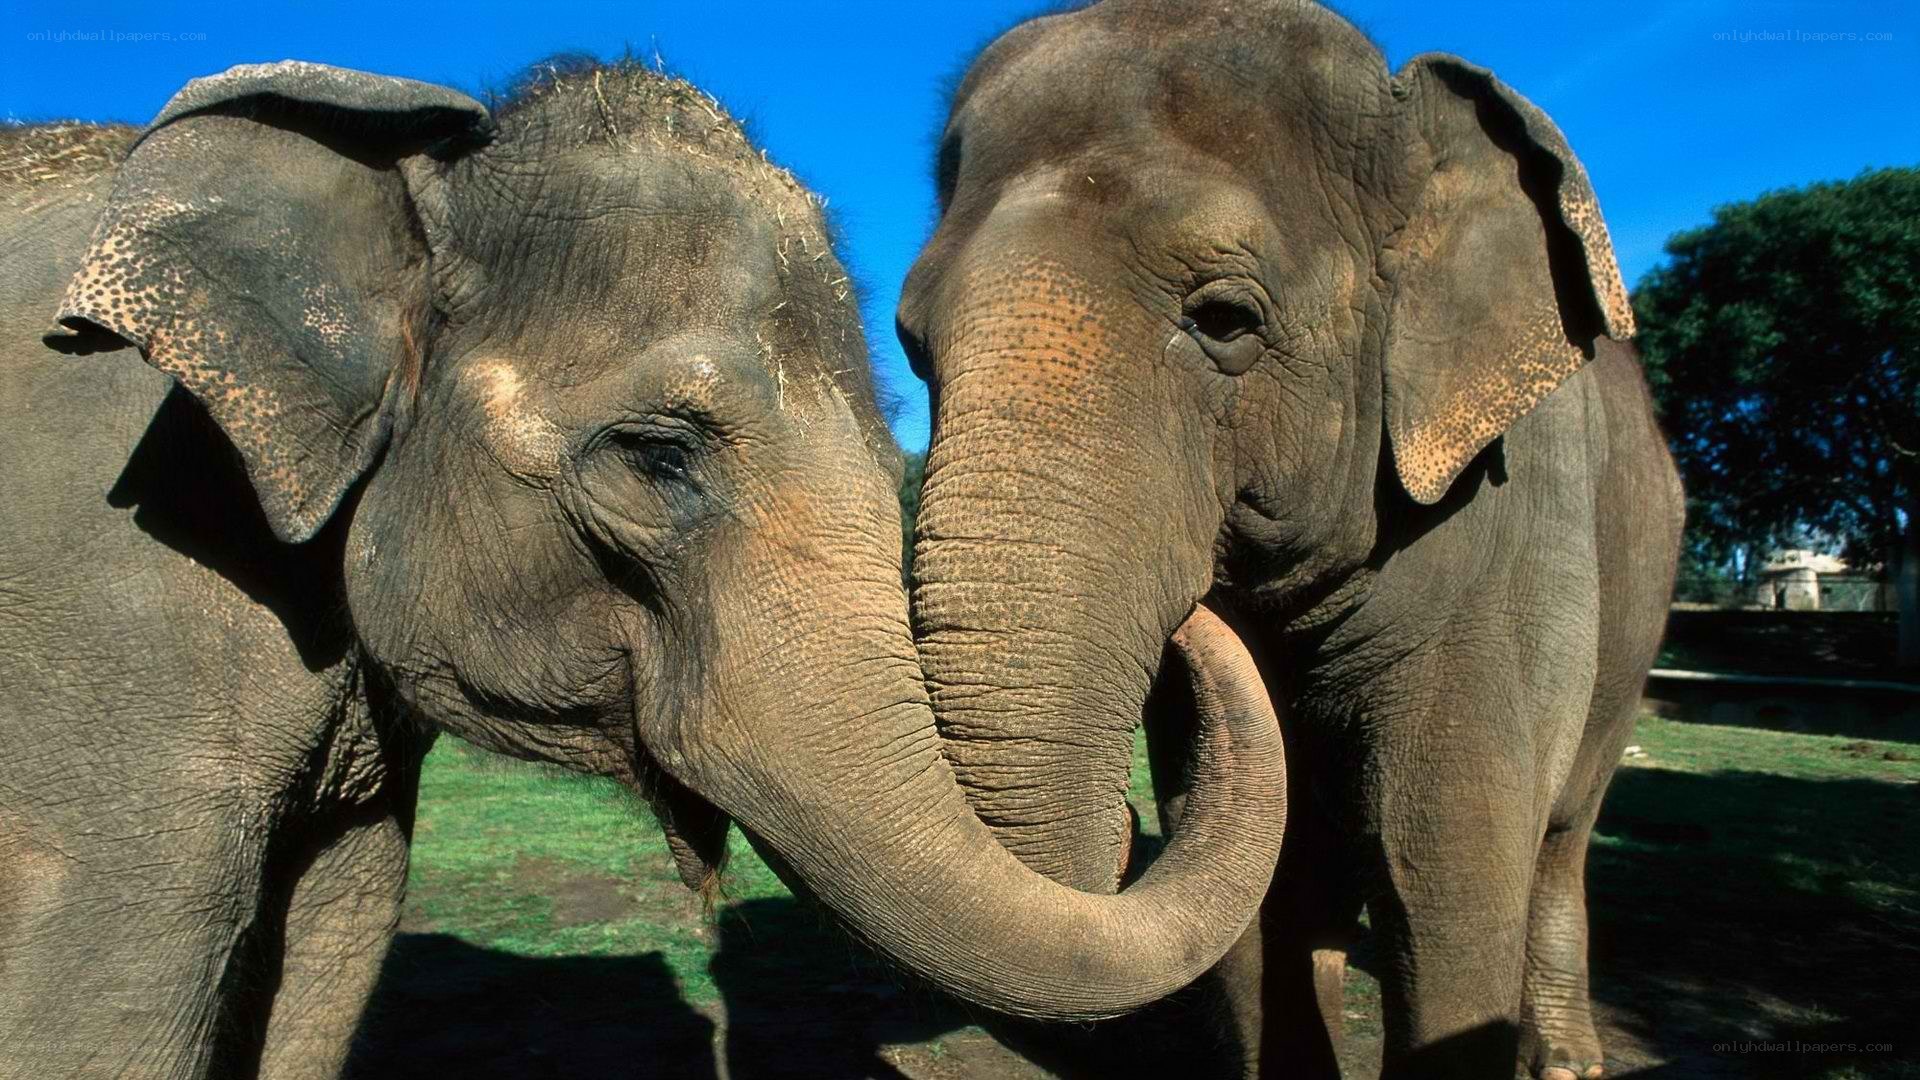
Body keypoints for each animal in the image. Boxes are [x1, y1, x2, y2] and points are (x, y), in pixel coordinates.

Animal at [896, 2, 1685, 1078]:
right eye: (912, 346)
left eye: (1226, 319)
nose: (1195, 614)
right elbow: (1255, 880)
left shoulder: (1523, 520)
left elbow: (1448, 862)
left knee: (1561, 836)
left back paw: (1564, 1061)